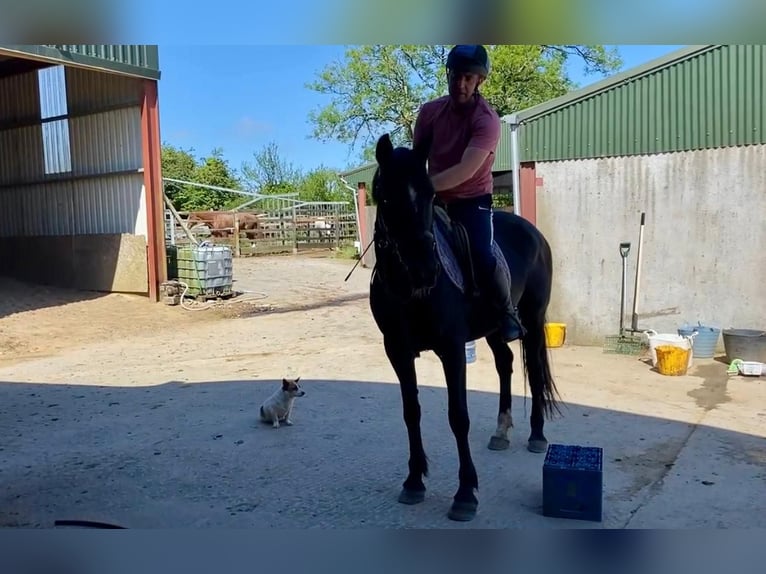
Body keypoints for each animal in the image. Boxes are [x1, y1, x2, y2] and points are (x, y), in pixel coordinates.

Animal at [368, 133, 560, 524]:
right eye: (387, 197)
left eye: (429, 195)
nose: (426, 269)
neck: (408, 291)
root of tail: (535, 233)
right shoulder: (397, 351)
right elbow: (411, 412)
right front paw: (414, 481)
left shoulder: (452, 349)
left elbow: (459, 416)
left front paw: (466, 492)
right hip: (493, 329)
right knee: (506, 364)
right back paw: (502, 430)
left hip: (532, 320)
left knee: (533, 370)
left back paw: (536, 434)